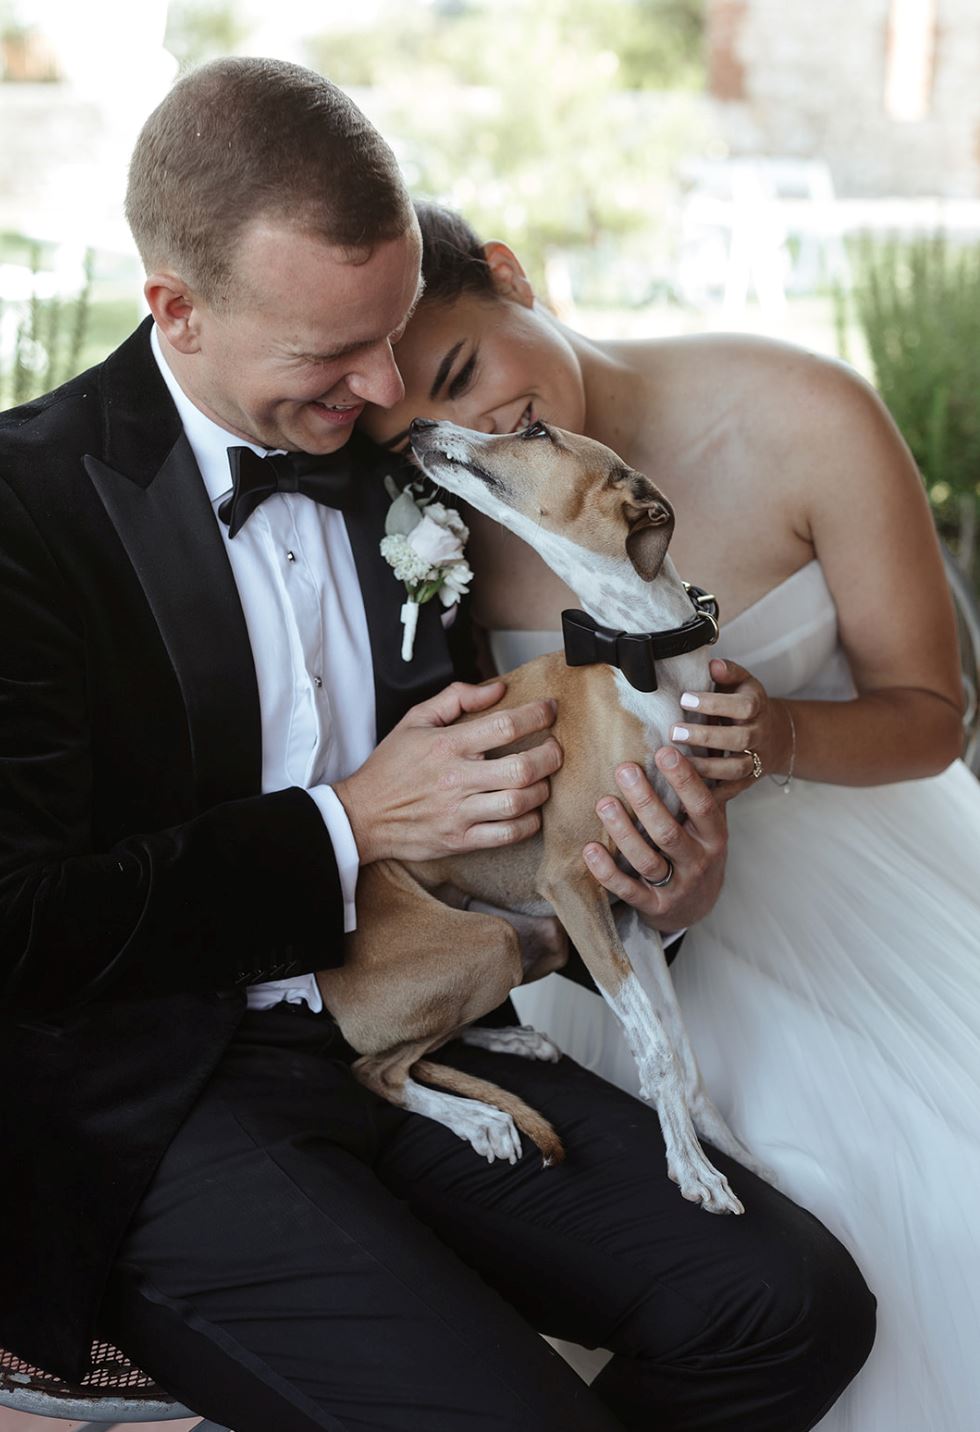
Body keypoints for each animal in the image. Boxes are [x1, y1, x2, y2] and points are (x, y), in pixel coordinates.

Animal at [318, 418, 767, 1214]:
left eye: (533, 431)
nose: (420, 425)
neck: (642, 659)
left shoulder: (630, 904)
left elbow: (681, 1053)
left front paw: (725, 1149)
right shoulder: (572, 883)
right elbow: (654, 1048)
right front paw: (692, 1168)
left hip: (539, 940)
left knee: (418, 1046)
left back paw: (513, 1043)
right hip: (489, 942)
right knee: (376, 1068)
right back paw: (481, 1119)